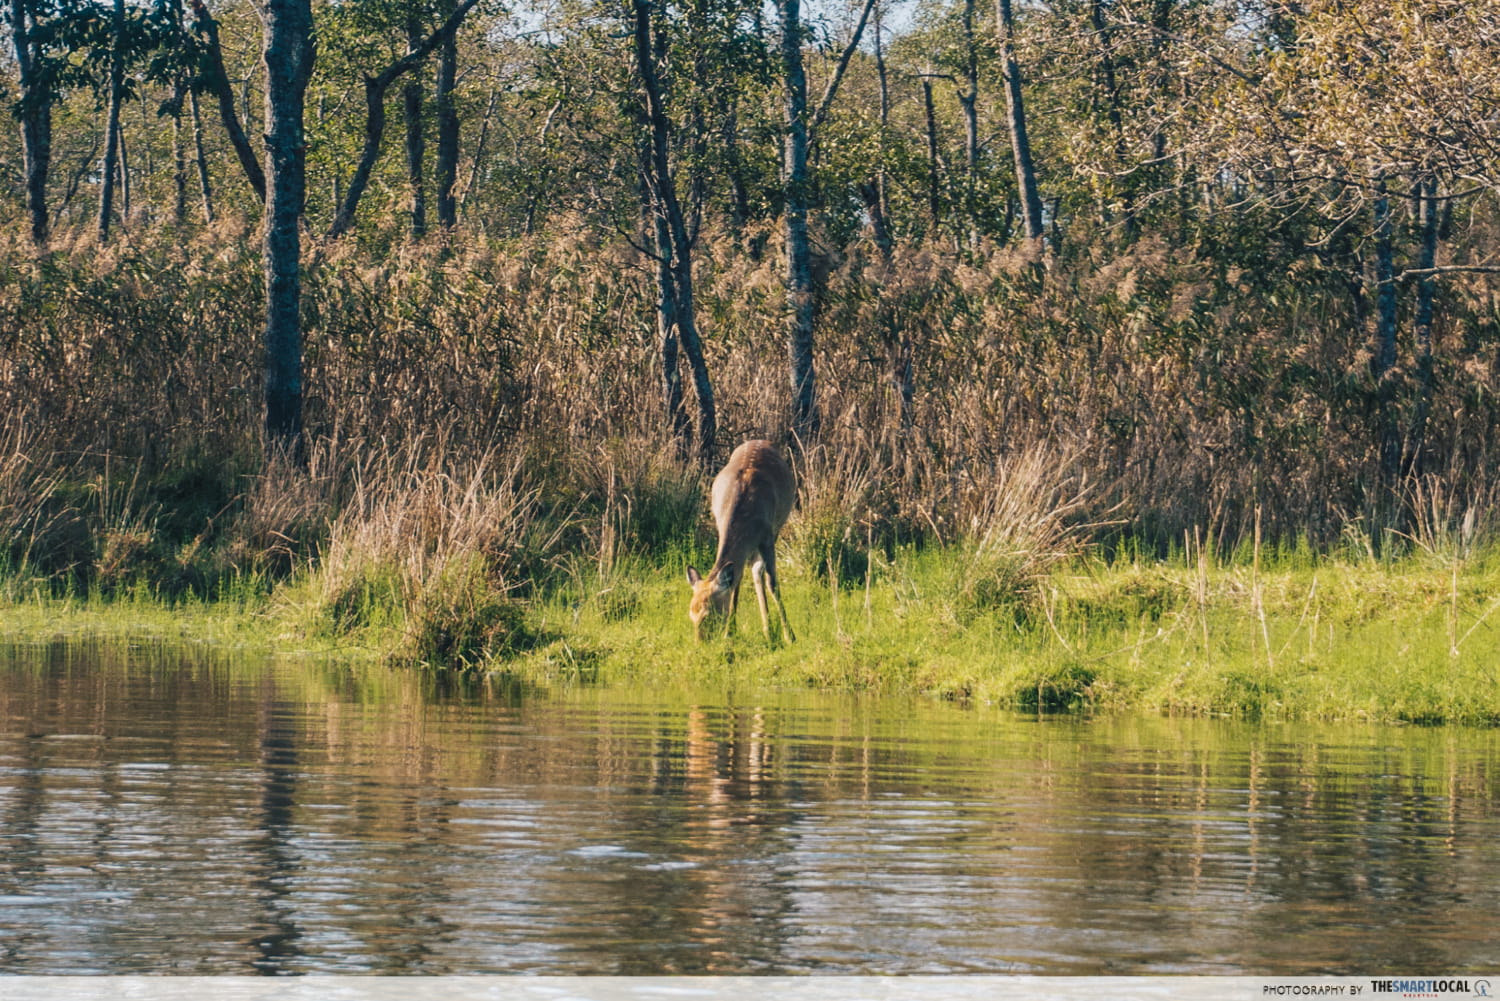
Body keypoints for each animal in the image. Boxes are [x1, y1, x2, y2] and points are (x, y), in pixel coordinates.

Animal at [687, 441, 798, 645]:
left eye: (710, 615)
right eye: (691, 615)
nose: (699, 644)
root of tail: (758, 441)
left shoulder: (767, 534)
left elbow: (772, 583)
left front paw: (790, 636)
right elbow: (736, 579)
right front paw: (730, 633)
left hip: (777, 527)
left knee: (758, 572)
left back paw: (770, 630)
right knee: (750, 572)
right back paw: (767, 630)